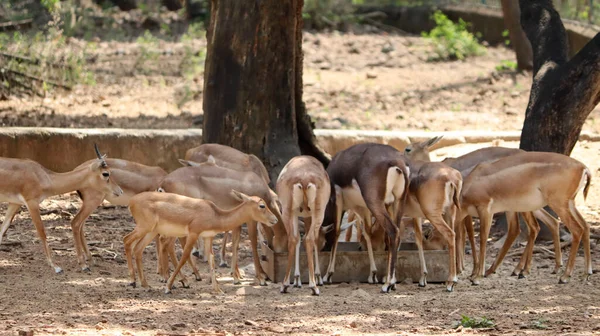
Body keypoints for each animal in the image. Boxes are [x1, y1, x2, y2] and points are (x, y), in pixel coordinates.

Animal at [0, 144, 123, 272]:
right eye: (106, 173)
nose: (119, 191)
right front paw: (55, 267)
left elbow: (2, 229)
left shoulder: (15, 203)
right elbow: (42, 232)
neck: (44, 177)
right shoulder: (32, 203)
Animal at [126, 189, 278, 294]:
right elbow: (184, 256)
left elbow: (211, 259)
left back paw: (145, 285)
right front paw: (168, 287)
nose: (275, 220)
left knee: (138, 249)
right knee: (127, 240)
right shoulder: (193, 233)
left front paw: (218, 290)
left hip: (151, 231)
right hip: (144, 227)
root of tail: (132, 201)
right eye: (262, 205)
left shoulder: (208, 237)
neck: (214, 215)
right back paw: (133, 281)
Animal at [276, 156, 330, 296]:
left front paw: (297, 280)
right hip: (318, 213)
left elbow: (298, 239)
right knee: (309, 239)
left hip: (287, 212)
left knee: (293, 239)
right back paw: (313, 286)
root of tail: (304, 178)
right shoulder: (309, 215)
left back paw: (285, 285)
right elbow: (313, 239)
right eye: (325, 243)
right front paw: (318, 278)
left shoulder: (299, 214)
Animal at [322, 142, 410, 292]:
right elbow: (367, 233)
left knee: (393, 231)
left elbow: (336, 232)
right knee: (394, 235)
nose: (323, 249)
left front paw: (328, 275)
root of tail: (399, 162)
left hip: (375, 203)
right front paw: (372, 275)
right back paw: (391, 282)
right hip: (396, 203)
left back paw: (387, 284)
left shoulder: (337, 198)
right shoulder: (365, 208)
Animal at [460, 152, 592, 286]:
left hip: (556, 204)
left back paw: (563, 276)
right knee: (581, 225)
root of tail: (583, 167)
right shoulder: (507, 209)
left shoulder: (485, 210)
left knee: (575, 229)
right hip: (566, 204)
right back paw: (584, 273)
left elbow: (482, 238)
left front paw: (477, 276)